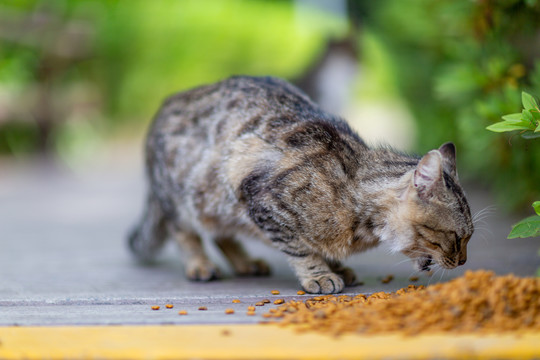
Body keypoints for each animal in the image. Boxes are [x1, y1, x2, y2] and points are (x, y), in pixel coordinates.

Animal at [129, 74, 474, 294]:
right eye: (457, 237)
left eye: (469, 238)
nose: (463, 261)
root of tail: (167, 103)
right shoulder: (259, 194)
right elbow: (301, 248)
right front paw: (320, 274)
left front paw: (336, 266)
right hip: (188, 197)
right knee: (185, 231)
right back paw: (199, 264)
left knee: (221, 233)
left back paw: (246, 262)